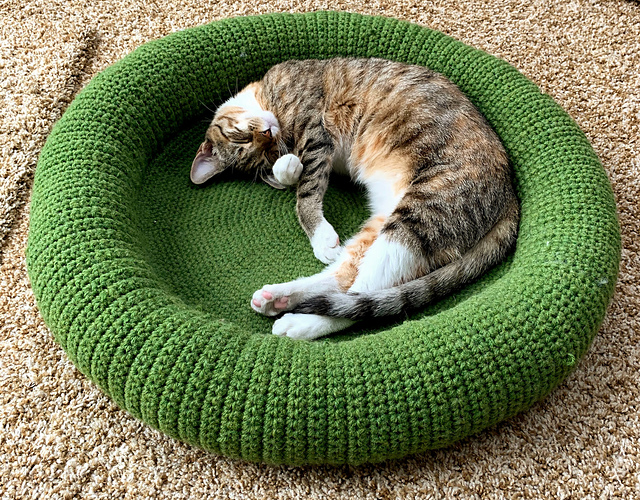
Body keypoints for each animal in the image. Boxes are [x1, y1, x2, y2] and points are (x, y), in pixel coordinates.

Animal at [191, 57, 520, 340]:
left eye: (243, 136)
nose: (269, 133)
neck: (267, 96)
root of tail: (510, 195)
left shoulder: (315, 131)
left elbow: (306, 190)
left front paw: (296, 184)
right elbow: (297, 180)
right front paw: (286, 169)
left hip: (419, 215)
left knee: (358, 299)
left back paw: (298, 321)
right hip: (391, 220)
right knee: (346, 280)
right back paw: (279, 298)